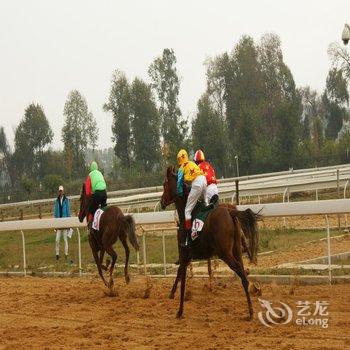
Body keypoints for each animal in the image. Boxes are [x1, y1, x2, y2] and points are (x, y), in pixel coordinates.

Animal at [160, 167, 258, 320]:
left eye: (164, 185)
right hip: (236, 250)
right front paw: (172, 294)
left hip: (225, 253)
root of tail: (230, 211)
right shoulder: (188, 255)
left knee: (242, 274)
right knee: (243, 272)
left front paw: (179, 310)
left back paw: (251, 307)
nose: (162, 201)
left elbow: (182, 276)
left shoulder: (184, 252)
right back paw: (251, 309)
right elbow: (180, 272)